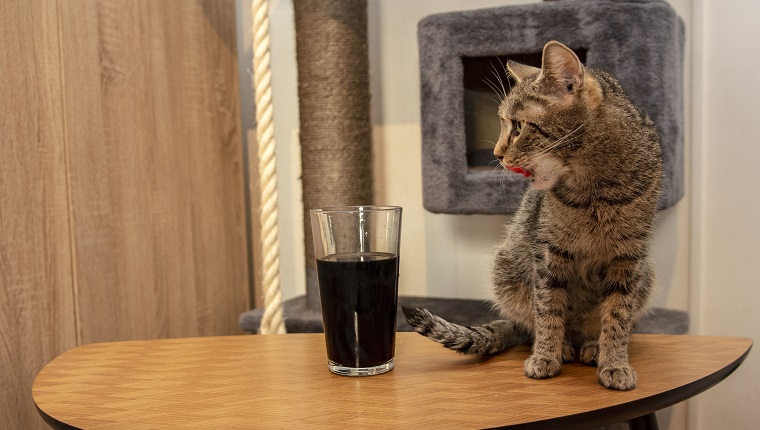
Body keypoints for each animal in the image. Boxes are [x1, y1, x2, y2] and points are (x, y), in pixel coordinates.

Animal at [406, 40, 664, 390]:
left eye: (517, 127)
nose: (497, 154)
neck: (595, 190)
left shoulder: (628, 257)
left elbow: (617, 317)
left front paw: (614, 362)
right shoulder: (548, 252)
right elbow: (548, 310)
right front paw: (546, 355)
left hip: (645, 274)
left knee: (593, 327)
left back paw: (591, 345)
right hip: (506, 269)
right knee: (534, 323)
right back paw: (565, 345)